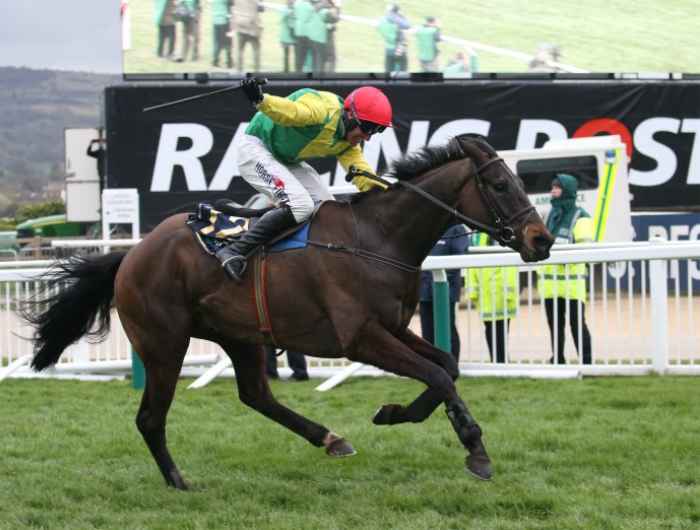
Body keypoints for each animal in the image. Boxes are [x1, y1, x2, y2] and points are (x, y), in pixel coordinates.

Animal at [24, 135, 552, 486]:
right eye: (500, 185)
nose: (541, 240)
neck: (378, 238)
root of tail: (132, 254)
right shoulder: (360, 336)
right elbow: (438, 374)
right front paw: (447, 437)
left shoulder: (393, 326)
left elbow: (447, 367)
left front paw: (450, 434)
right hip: (163, 344)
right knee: (151, 418)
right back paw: (177, 480)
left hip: (238, 336)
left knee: (257, 395)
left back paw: (330, 439)